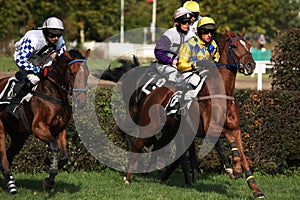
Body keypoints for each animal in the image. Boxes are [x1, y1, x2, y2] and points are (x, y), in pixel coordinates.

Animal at [0, 48, 89, 194]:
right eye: (72, 73)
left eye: (87, 73)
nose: (81, 102)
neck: (52, 92)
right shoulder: (38, 127)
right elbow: (53, 145)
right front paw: (49, 178)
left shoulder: (60, 129)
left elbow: (64, 157)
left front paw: (49, 167)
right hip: (1, 130)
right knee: (3, 155)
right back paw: (12, 185)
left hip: (19, 136)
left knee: (9, 154)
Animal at [122, 28, 264, 198]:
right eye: (235, 46)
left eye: (248, 45)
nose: (251, 65)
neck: (221, 94)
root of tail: (151, 93)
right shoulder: (211, 129)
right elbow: (229, 139)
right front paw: (235, 169)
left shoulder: (236, 129)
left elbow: (243, 155)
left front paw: (255, 189)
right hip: (149, 127)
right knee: (137, 147)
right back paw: (128, 177)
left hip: (170, 130)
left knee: (158, 146)